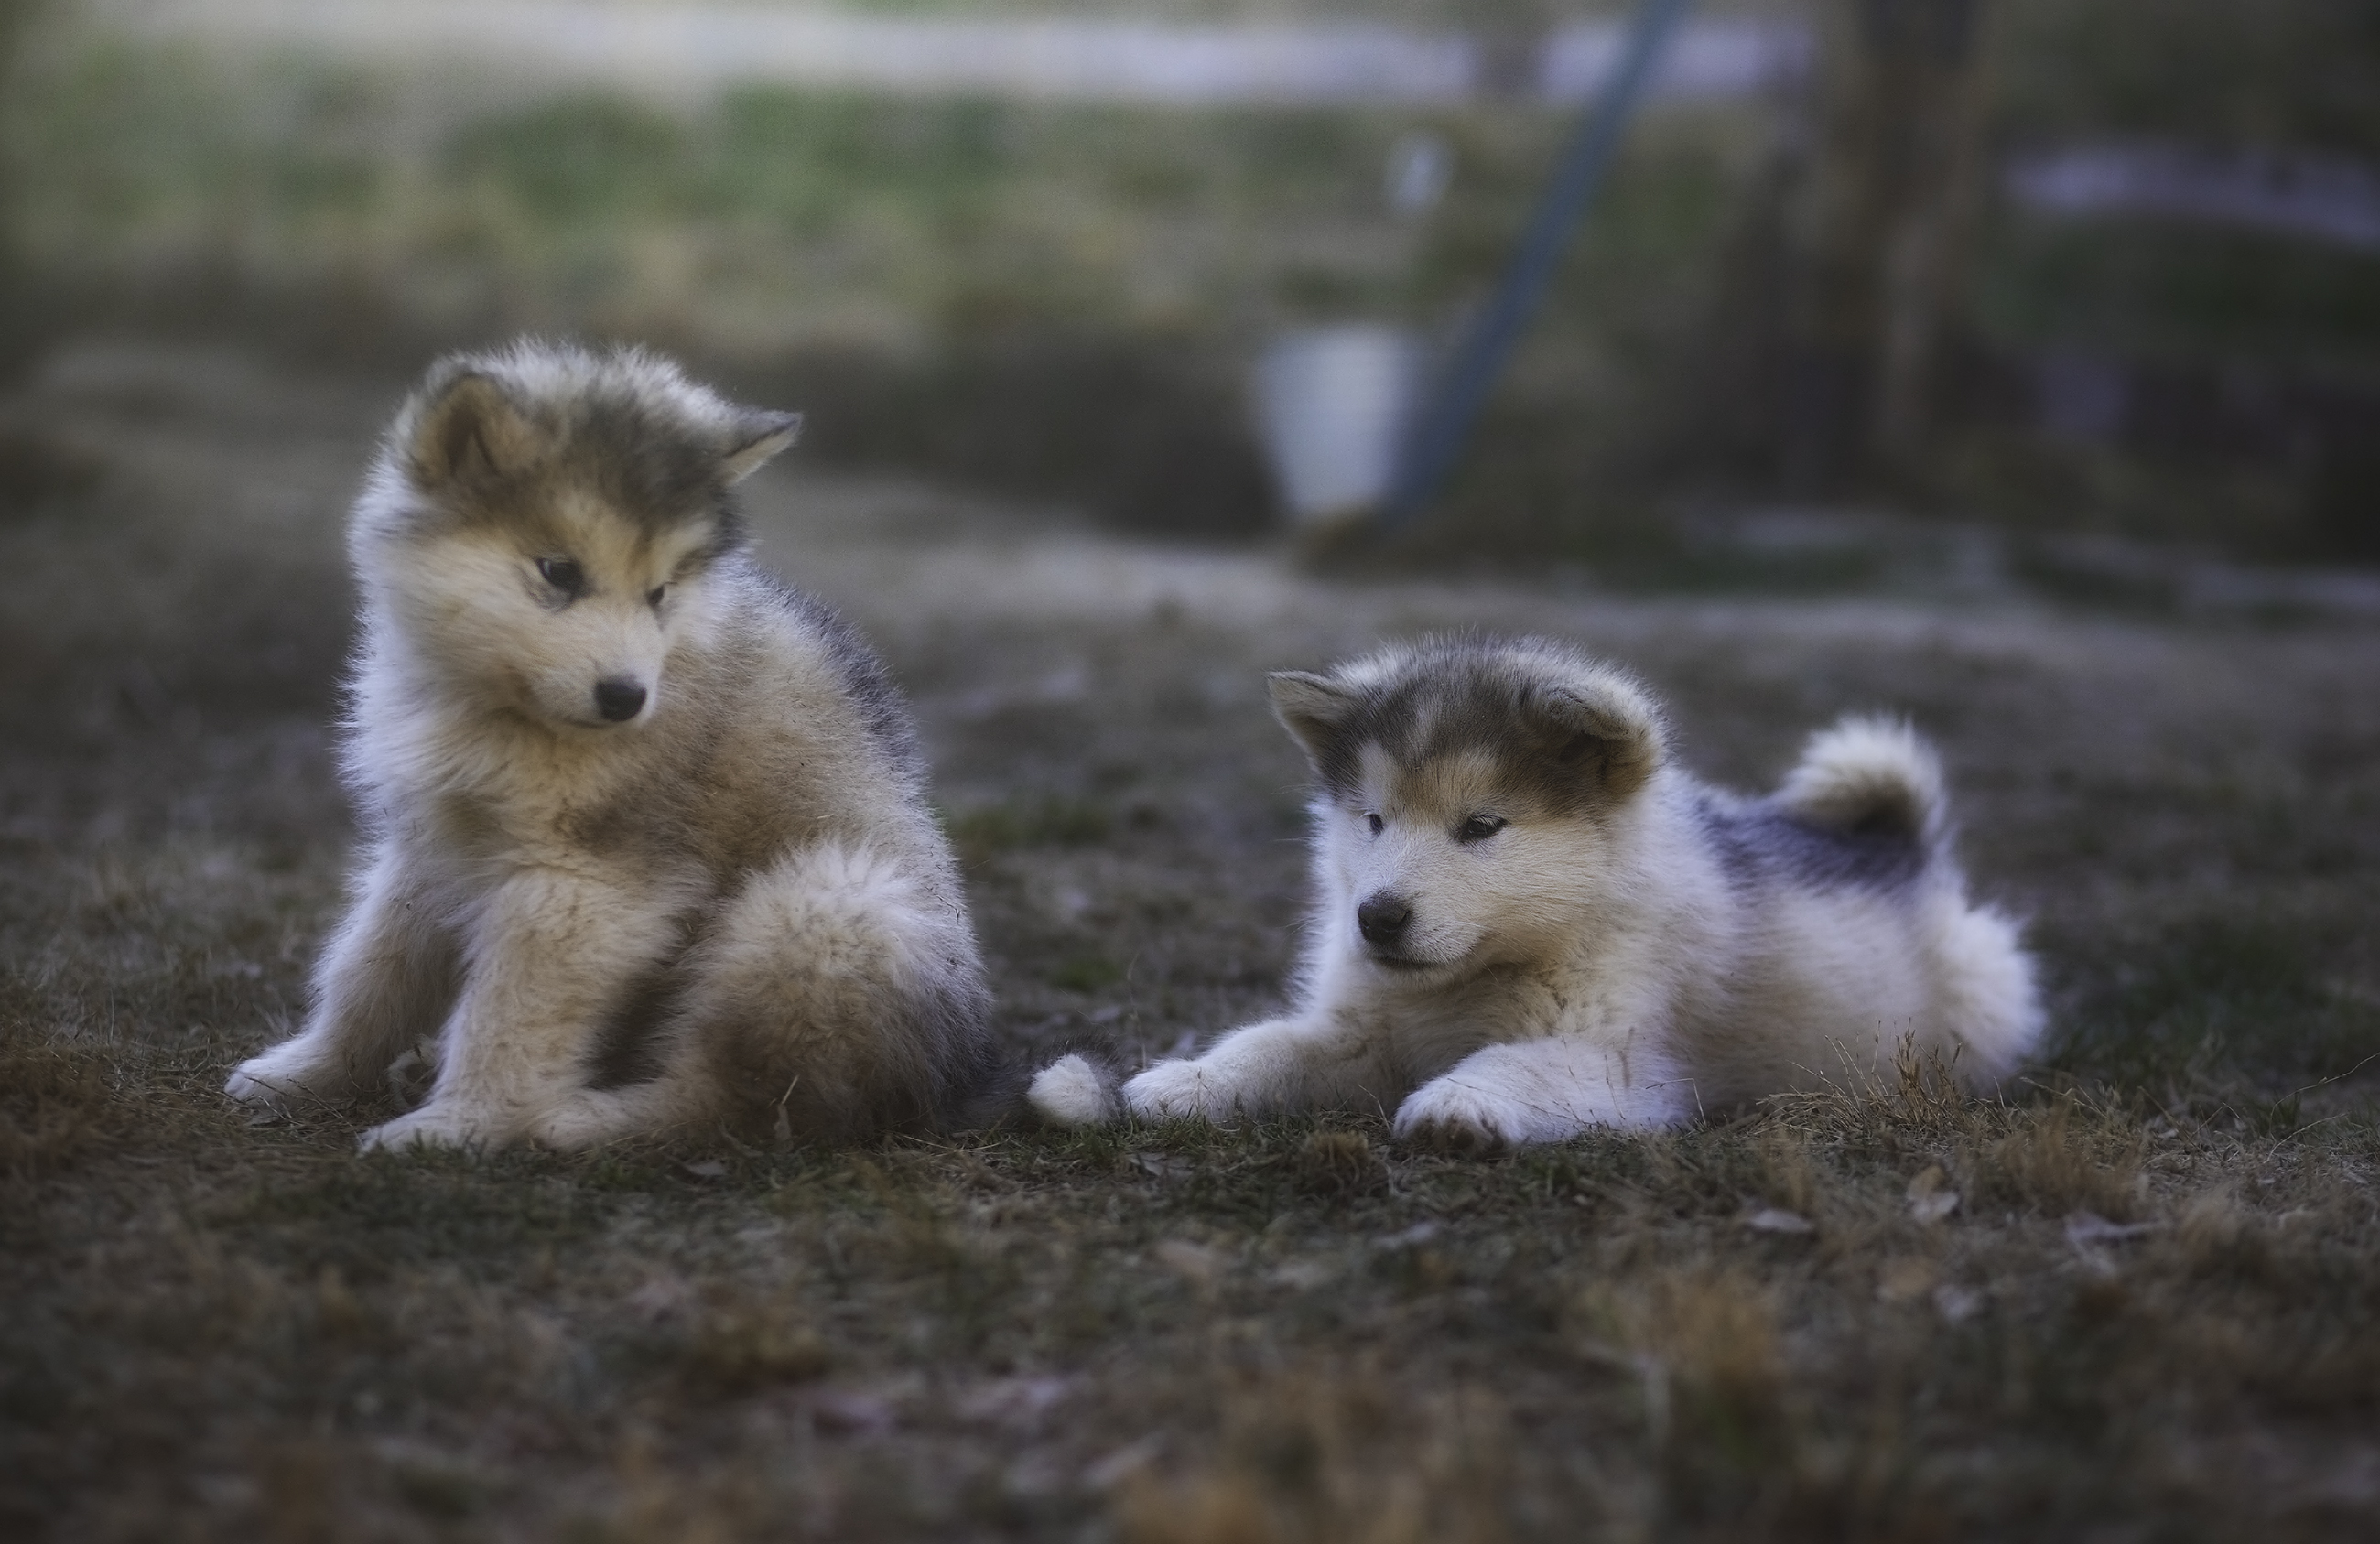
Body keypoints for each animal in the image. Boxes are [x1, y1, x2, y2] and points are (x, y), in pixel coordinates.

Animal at [227, 342, 990, 1151]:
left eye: (660, 592)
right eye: (559, 572)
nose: (627, 698)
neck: (502, 707)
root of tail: (951, 1082)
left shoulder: (583, 886)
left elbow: (507, 1016)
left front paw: (459, 1124)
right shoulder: (434, 846)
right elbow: (369, 969)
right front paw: (306, 1071)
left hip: (827, 901)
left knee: (732, 1099)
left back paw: (574, 1118)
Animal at [1033, 632, 2037, 1151]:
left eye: (1481, 825)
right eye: (1372, 819)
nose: (1376, 917)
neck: (1476, 981)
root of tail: (1892, 837)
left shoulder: (1619, 1060)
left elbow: (1513, 1064)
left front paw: (1454, 1105)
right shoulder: (1356, 1034)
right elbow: (1265, 1046)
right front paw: (1184, 1080)